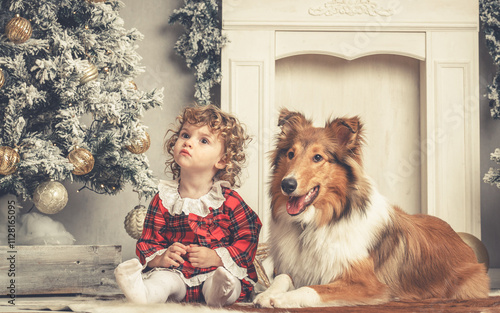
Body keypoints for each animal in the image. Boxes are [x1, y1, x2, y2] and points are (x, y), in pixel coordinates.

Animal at [254, 108, 488, 308]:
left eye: (318, 157)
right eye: (290, 154)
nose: (287, 184)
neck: (314, 224)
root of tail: (462, 241)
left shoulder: (368, 284)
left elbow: (312, 289)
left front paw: (281, 299)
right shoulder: (297, 269)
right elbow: (282, 276)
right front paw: (266, 294)